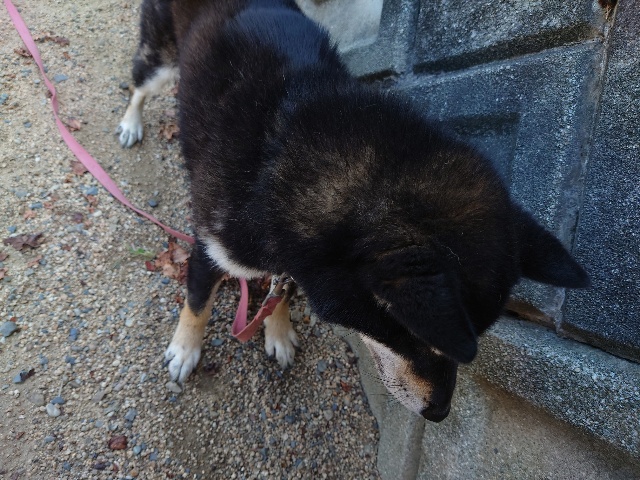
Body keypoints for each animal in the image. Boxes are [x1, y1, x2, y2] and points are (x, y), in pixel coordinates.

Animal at [117, 0, 590, 422]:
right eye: (420, 341)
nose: (439, 414)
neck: (285, 146)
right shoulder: (210, 247)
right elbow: (197, 304)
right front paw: (185, 349)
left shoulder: (291, 257)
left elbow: (282, 290)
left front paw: (278, 329)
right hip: (160, 59)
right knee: (139, 85)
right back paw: (130, 123)